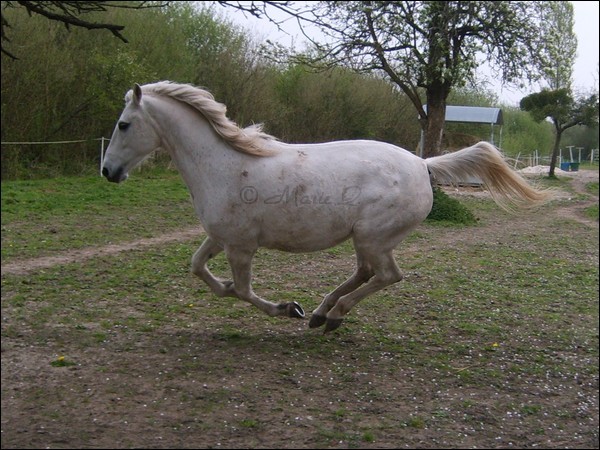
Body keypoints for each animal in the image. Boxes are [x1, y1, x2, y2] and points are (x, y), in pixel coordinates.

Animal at [102, 82, 548, 332]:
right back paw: (322, 312)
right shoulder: (220, 237)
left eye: (124, 124)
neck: (224, 163)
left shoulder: (241, 247)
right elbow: (198, 268)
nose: (108, 171)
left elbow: (244, 291)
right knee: (366, 274)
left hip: (372, 238)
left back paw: (332, 316)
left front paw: (287, 308)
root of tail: (423, 164)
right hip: (367, 240)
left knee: (387, 276)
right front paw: (238, 291)